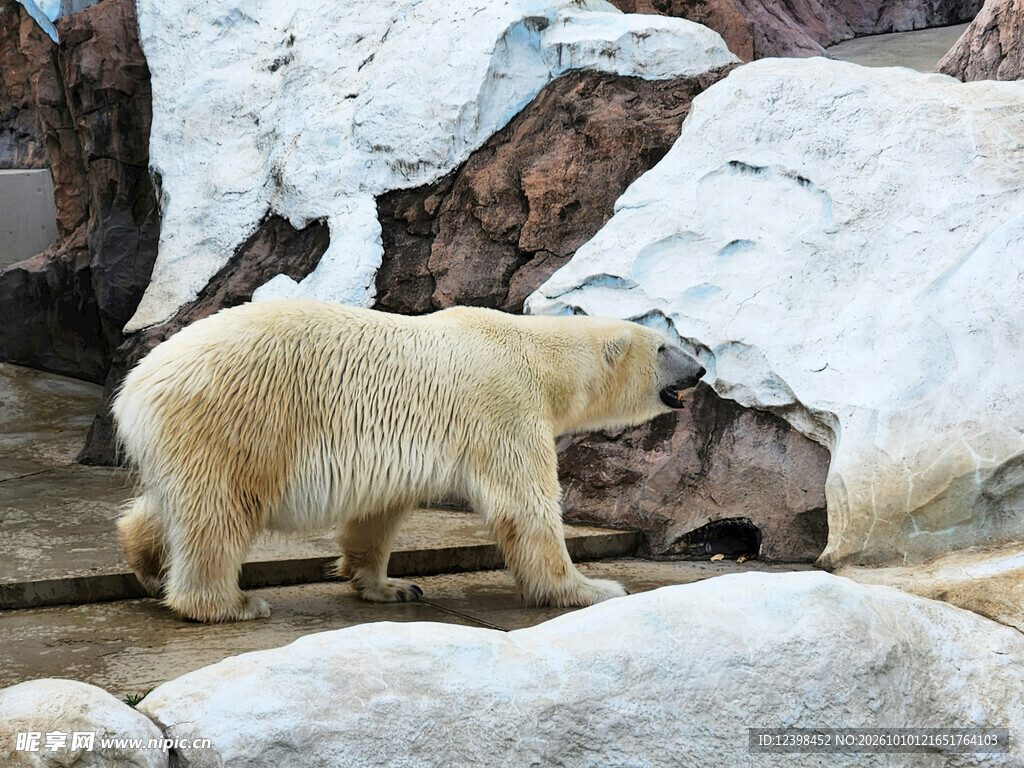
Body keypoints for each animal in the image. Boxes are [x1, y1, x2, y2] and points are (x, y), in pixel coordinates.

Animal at [113, 300, 705, 622]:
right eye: (663, 347)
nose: (700, 371)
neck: (537, 352)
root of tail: (135, 389)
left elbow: (376, 514)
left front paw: (389, 585)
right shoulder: (505, 404)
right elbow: (525, 506)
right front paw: (593, 589)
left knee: (175, 503)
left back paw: (145, 561)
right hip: (238, 419)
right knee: (220, 512)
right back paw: (228, 603)